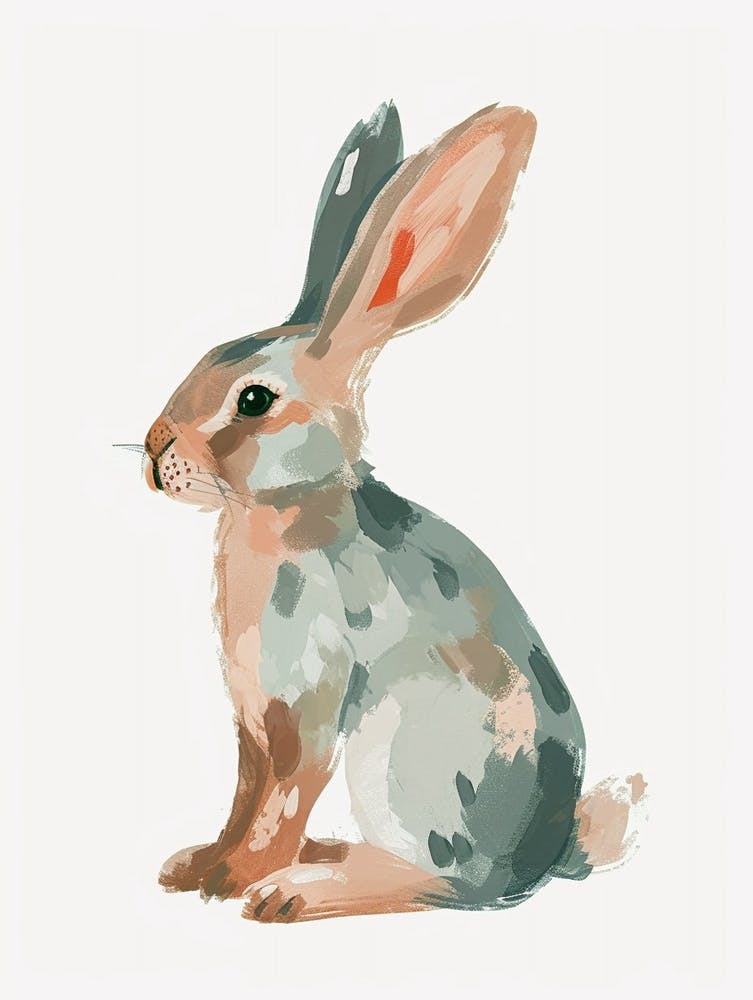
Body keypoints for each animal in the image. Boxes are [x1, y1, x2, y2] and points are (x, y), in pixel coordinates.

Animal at [141, 101, 645, 923]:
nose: (155, 452)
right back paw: (322, 859)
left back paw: (300, 891)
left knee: (438, 885)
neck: (285, 511)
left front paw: (239, 880)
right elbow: (247, 794)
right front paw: (200, 866)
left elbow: (284, 796)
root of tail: (541, 863)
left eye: (254, 400)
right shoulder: (253, 719)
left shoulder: (310, 704)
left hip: (405, 763)